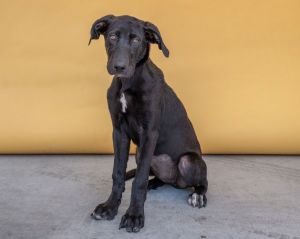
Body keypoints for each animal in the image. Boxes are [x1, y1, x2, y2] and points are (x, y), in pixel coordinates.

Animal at [88, 14, 207, 232]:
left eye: (136, 40)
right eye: (112, 36)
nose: (119, 67)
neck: (128, 84)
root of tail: (175, 181)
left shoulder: (149, 132)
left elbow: (139, 180)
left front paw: (134, 215)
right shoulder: (118, 131)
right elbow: (118, 173)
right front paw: (110, 207)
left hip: (188, 161)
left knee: (202, 181)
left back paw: (198, 195)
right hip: (140, 154)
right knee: (156, 176)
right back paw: (155, 183)